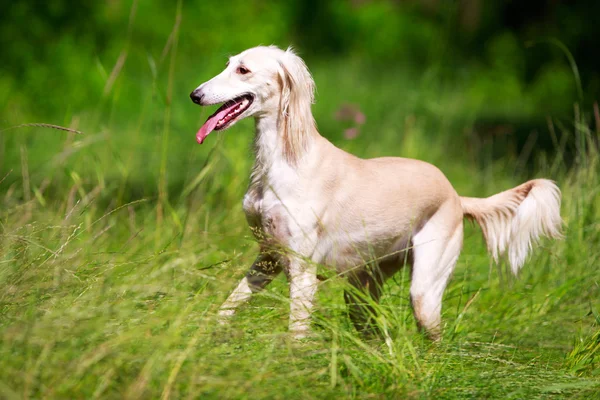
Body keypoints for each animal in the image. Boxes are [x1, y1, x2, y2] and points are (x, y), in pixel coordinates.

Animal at [189, 45, 564, 340]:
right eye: (228, 64)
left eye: (243, 70)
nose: (195, 95)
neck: (283, 162)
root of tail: (457, 196)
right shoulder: (267, 257)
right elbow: (227, 307)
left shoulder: (302, 271)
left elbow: (295, 335)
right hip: (362, 291)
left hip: (424, 293)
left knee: (433, 339)